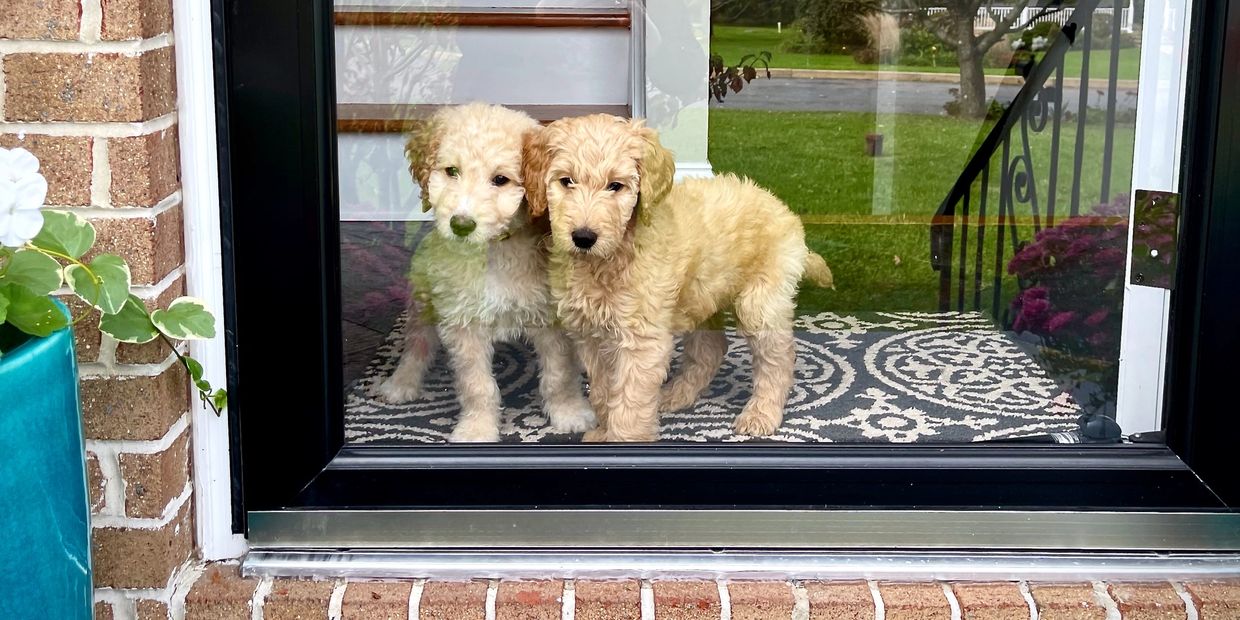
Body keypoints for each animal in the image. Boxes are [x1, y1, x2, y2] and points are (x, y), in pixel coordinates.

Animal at [372, 102, 595, 441]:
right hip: (423, 295)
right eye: (452, 171)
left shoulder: (551, 318)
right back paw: (401, 383)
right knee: (417, 343)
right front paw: (477, 428)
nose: (461, 225)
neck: (493, 250)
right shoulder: (463, 322)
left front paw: (569, 412)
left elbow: (559, 373)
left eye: (500, 179)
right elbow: (477, 384)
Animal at [523, 115, 833, 441]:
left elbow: (629, 402)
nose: (583, 237)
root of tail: (783, 209)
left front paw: (622, 439)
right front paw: (604, 432)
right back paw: (675, 394)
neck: (608, 260)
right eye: (566, 181)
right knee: (711, 350)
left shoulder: (642, 340)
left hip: (759, 302)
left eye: (615, 186)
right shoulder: (590, 335)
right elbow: (604, 391)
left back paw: (760, 414)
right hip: (701, 297)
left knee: (779, 358)